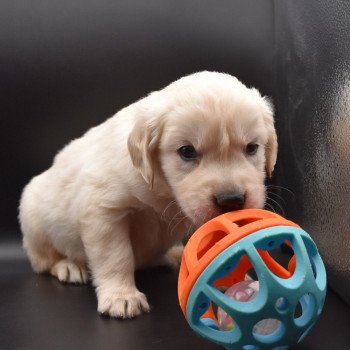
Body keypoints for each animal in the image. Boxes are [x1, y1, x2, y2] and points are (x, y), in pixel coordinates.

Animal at [18, 72, 276, 318]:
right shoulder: (104, 212)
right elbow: (116, 257)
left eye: (252, 148)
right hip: (33, 217)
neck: (164, 191)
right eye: (187, 151)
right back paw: (68, 266)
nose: (231, 200)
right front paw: (121, 296)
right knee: (43, 260)